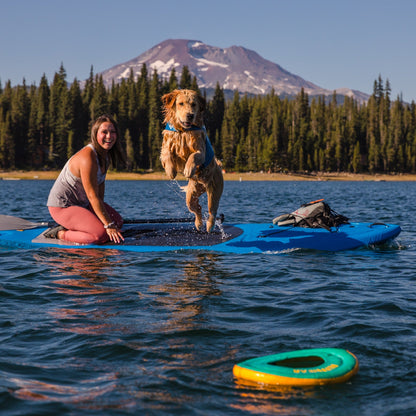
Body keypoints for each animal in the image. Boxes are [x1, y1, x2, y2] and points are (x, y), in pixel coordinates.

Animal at [160, 89, 224, 232]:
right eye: (181, 103)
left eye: (194, 104)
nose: (190, 115)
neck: (184, 130)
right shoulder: (167, 144)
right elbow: (166, 154)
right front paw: (171, 171)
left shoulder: (201, 151)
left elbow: (193, 156)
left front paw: (188, 169)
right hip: (191, 194)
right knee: (197, 207)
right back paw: (198, 223)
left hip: (214, 189)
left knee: (212, 210)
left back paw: (209, 225)